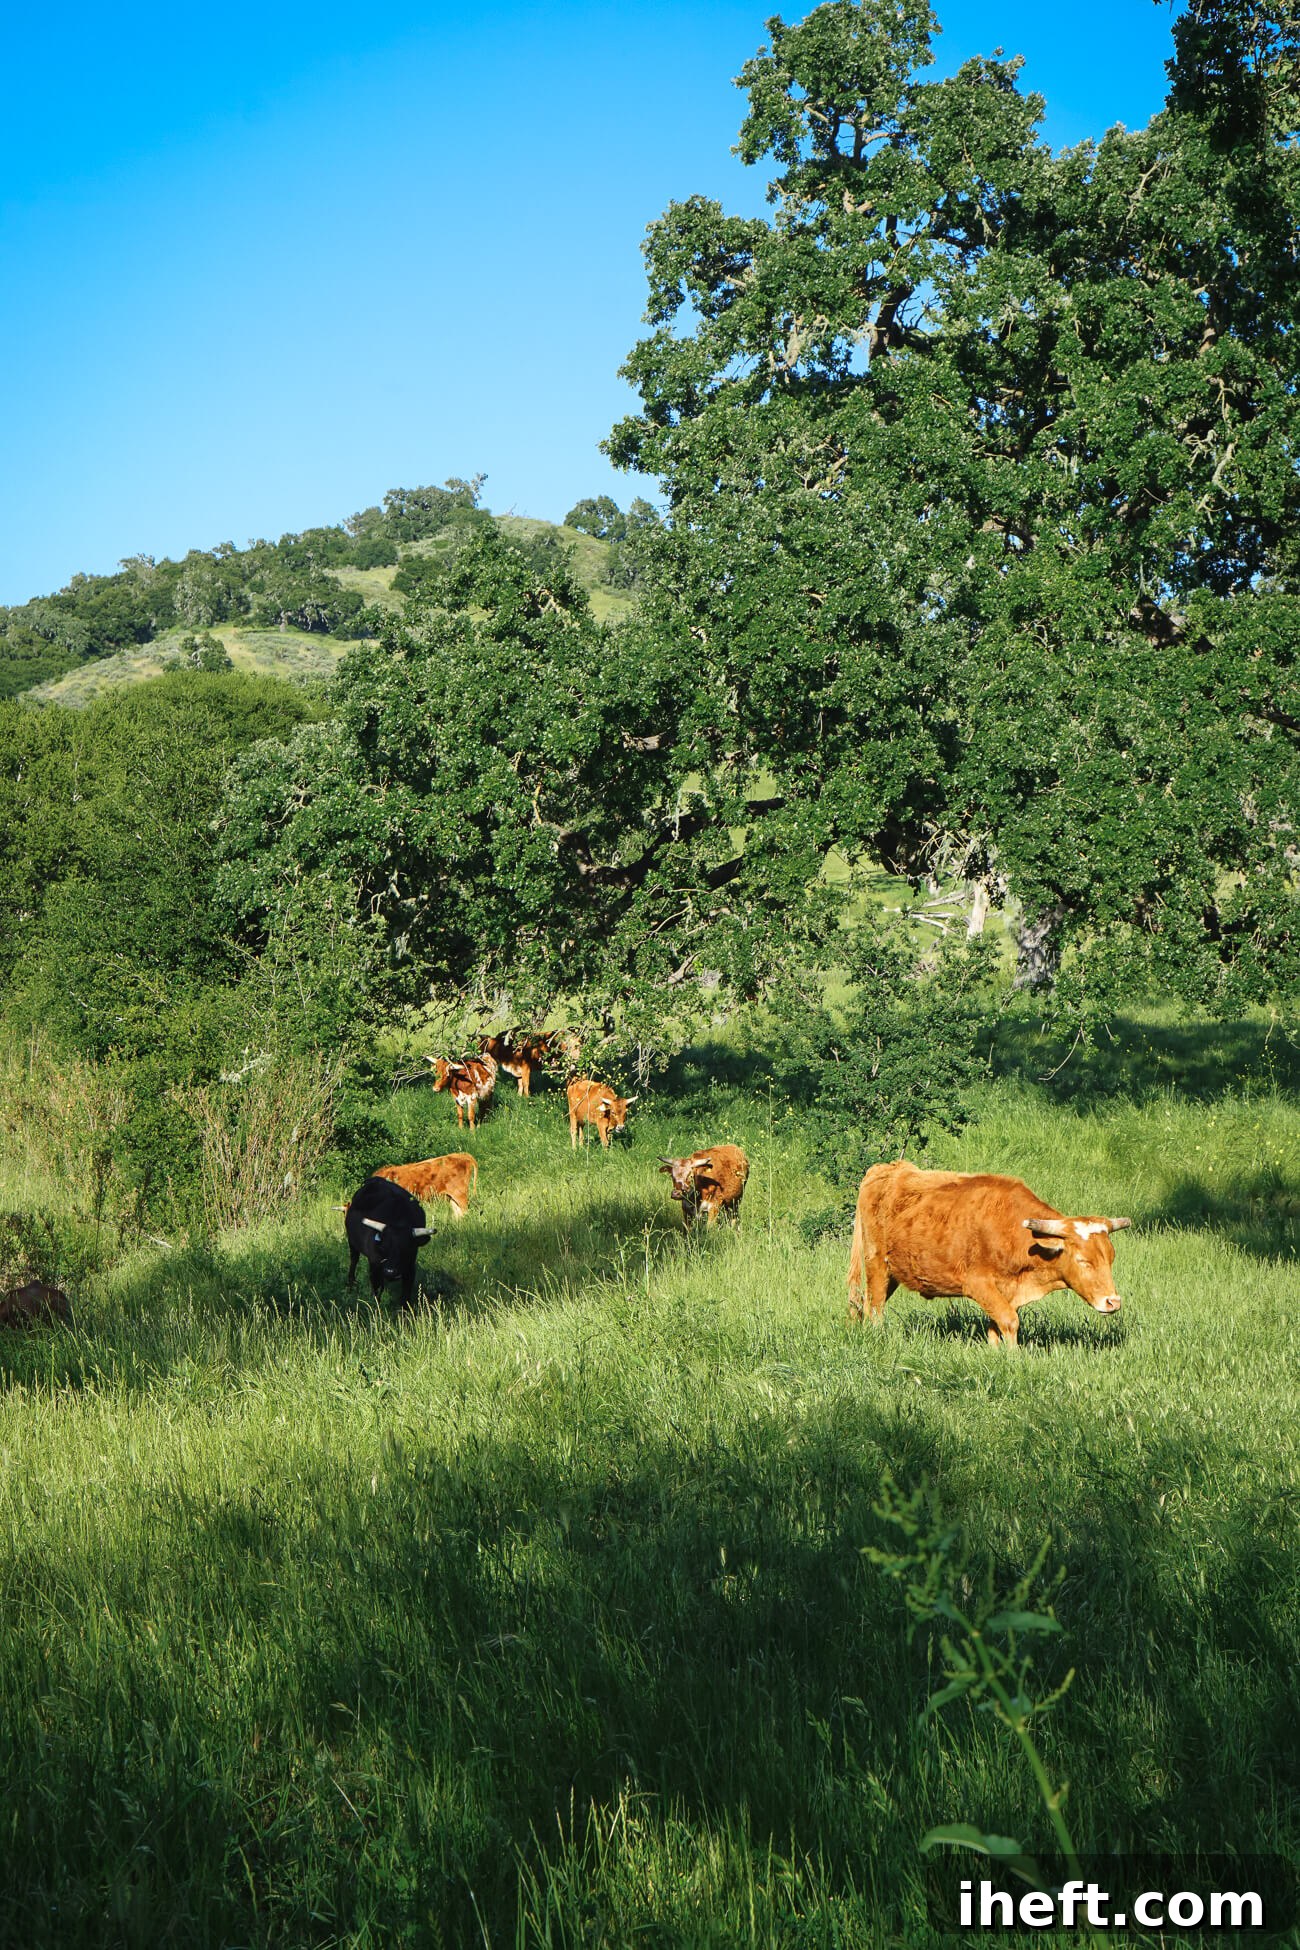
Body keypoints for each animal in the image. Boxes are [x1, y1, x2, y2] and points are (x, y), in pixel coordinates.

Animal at [344, 1176, 433, 1307]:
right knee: (353, 1261)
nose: (390, 1272)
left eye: (407, 1248)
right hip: (352, 1243)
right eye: (383, 1247)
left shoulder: (410, 1267)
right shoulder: (374, 1265)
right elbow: (376, 1291)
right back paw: (351, 1285)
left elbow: (405, 1294)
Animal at [846, 1160, 1132, 1347]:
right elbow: (1010, 1321)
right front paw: (1015, 1357)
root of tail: (888, 1167)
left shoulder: (1006, 1291)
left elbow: (997, 1326)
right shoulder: (977, 1284)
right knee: (875, 1307)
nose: (1113, 1302)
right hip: (876, 1263)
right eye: (1083, 1261)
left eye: (1111, 1259)